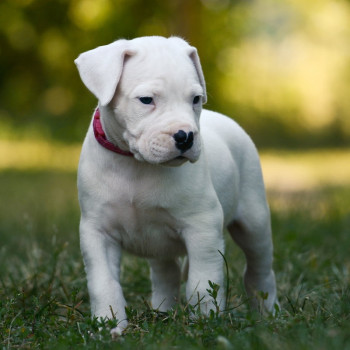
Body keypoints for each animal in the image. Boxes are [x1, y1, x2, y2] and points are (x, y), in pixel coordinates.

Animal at [74, 35, 278, 336]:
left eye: (195, 99)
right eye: (146, 100)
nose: (186, 136)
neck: (136, 165)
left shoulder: (202, 228)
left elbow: (202, 283)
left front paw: (205, 323)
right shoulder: (97, 232)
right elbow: (103, 283)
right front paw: (108, 325)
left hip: (254, 221)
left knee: (259, 267)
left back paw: (266, 311)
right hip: (159, 243)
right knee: (165, 273)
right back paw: (162, 312)